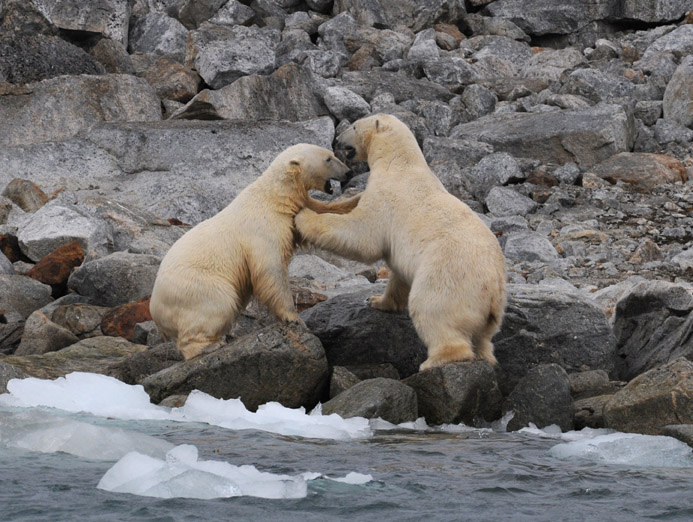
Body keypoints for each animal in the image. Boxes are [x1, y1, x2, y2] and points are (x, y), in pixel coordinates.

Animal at [149, 144, 360, 360]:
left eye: (333, 154)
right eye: (328, 159)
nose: (348, 172)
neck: (273, 197)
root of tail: (155, 311)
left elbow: (321, 212)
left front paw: (356, 199)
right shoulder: (262, 231)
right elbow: (271, 270)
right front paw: (294, 318)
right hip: (197, 287)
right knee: (216, 305)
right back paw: (209, 346)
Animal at [294, 112, 506, 370]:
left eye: (354, 126)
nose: (337, 139)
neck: (399, 163)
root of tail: (493, 290)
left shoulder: (385, 199)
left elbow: (362, 236)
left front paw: (303, 216)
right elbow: (399, 275)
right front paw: (376, 300)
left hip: (448, 278)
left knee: (432, 310)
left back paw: (435, 360)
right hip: (490, 314)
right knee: (483, 339)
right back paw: (484, 355)